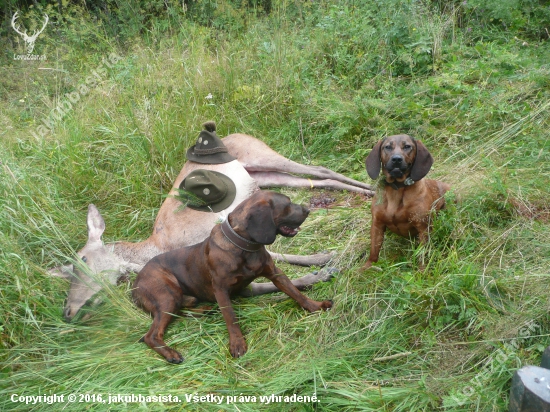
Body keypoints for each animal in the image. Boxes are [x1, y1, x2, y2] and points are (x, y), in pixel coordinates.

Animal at [134, 191, 334, 364]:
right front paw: (237, 343)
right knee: (151, 335)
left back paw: (205, 310)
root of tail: (134, 285)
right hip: (168, 296)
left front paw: (316, 306)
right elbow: (230, 317)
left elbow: (295, 292)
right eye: (287, 205)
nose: (307, 210)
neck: (244, 246)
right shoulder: (221, 289)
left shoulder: (274, 273)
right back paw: (171, 353)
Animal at [364, 135, 450, 270]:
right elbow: (373, 250)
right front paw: (367, 267)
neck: (396, 189)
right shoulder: (377, 224)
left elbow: (422, 254)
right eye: (387, 147)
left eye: (407, 146)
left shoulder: (423, 227)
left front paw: (422, 270)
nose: (396, 159)